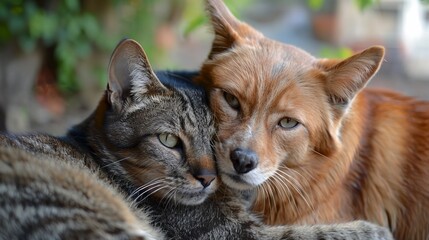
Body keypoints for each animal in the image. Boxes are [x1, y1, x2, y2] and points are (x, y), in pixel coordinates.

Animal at [0, 39, 392, 240]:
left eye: (217, 137)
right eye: (168, 141)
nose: (208, 177)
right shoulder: (232, 234)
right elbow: (310, 233)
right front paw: (371, 229)